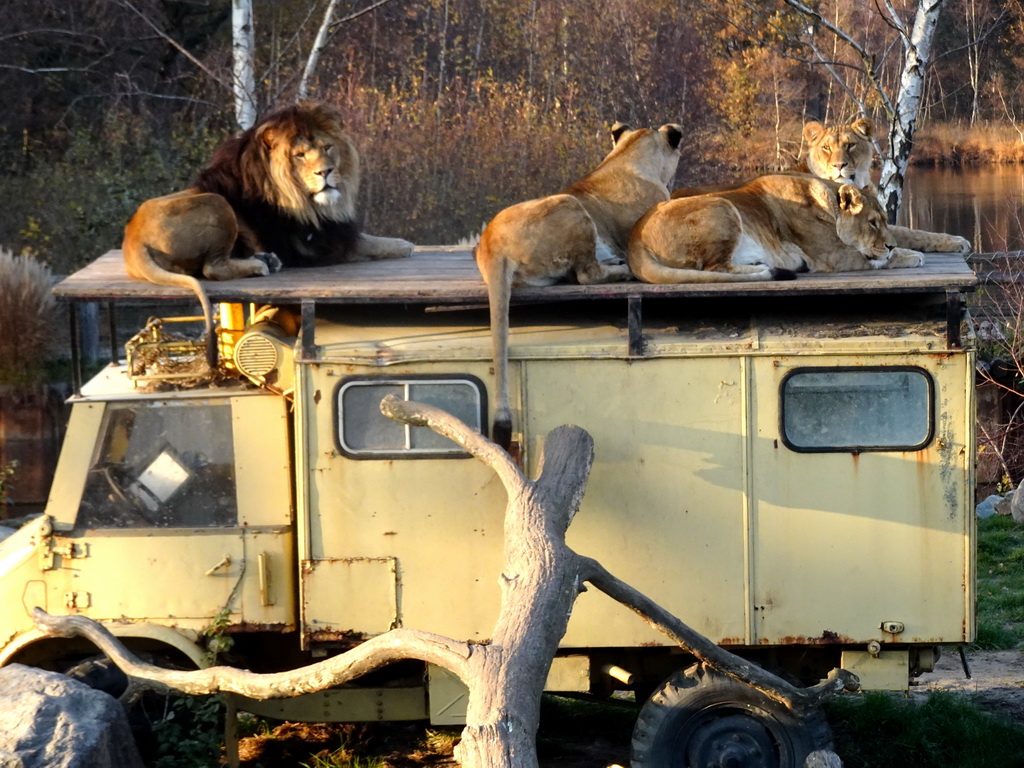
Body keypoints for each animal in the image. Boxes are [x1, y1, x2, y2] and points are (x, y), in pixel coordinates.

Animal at [125, 101, 413, 366]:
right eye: (300, 155)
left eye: (327, 148)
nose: (326, 172)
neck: (307, 202)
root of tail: (133, 239)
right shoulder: (319, 245)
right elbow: (372, 243)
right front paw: (404, 244)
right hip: (217, 203)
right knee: (211, 268)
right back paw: (259, 265)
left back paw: (267, 260)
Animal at [626, 173, 933, 284]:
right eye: (872, 222)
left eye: (885, 219)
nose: (891, 243)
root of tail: (634, 241)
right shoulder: (835, 256)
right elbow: (879, 260)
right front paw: (910, 256)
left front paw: (904, 250)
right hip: (723, 207)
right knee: (715, 268)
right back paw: (769, 268)